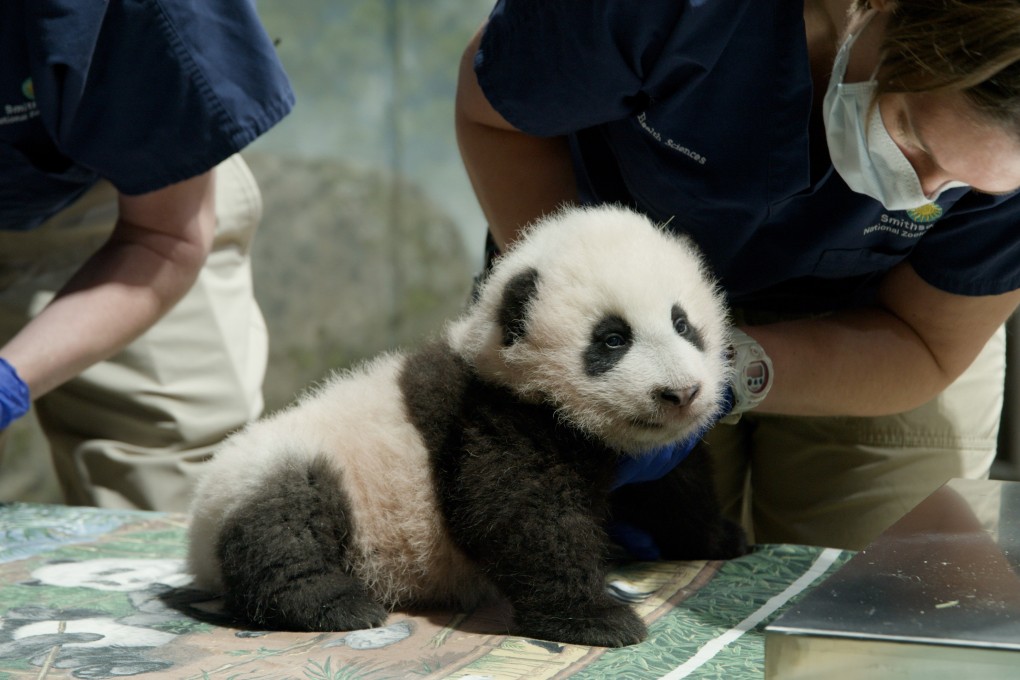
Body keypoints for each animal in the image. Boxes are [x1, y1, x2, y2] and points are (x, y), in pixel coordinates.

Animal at [186, 204, 747, 648]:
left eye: (682, 323)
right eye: (612, 339)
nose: (681, 393)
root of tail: (196, 546)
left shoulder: (644, 456)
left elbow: (675, 487)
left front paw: (719, 538)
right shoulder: (493, 416)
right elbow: (521, 515)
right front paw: (598, 618)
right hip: (277, 471)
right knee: (285, 523)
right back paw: (336, 603)